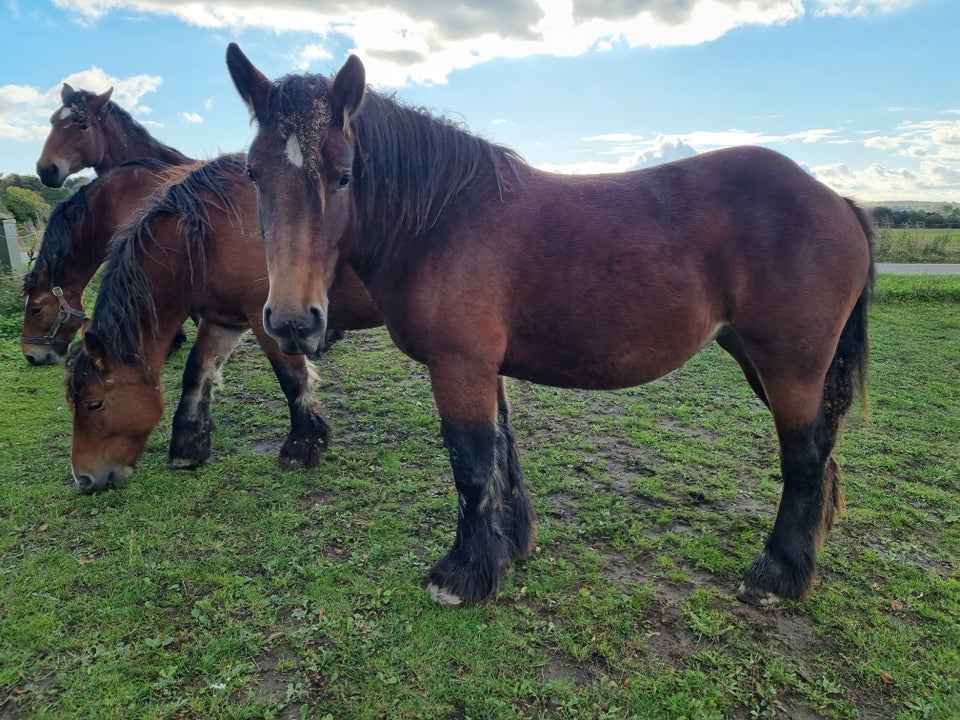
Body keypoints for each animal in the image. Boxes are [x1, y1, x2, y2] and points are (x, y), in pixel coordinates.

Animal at [229, 43, 872, 608]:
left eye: (343, 175)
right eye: (255, 174)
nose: (293, 320)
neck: (442, 220)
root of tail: (834, 198)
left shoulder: (458, 365)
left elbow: (470, 464)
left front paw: (462, 576)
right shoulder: (484, 367)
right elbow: (501, 455)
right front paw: (509, 548)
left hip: (789, 366)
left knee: (805, 459)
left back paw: (776, 575)